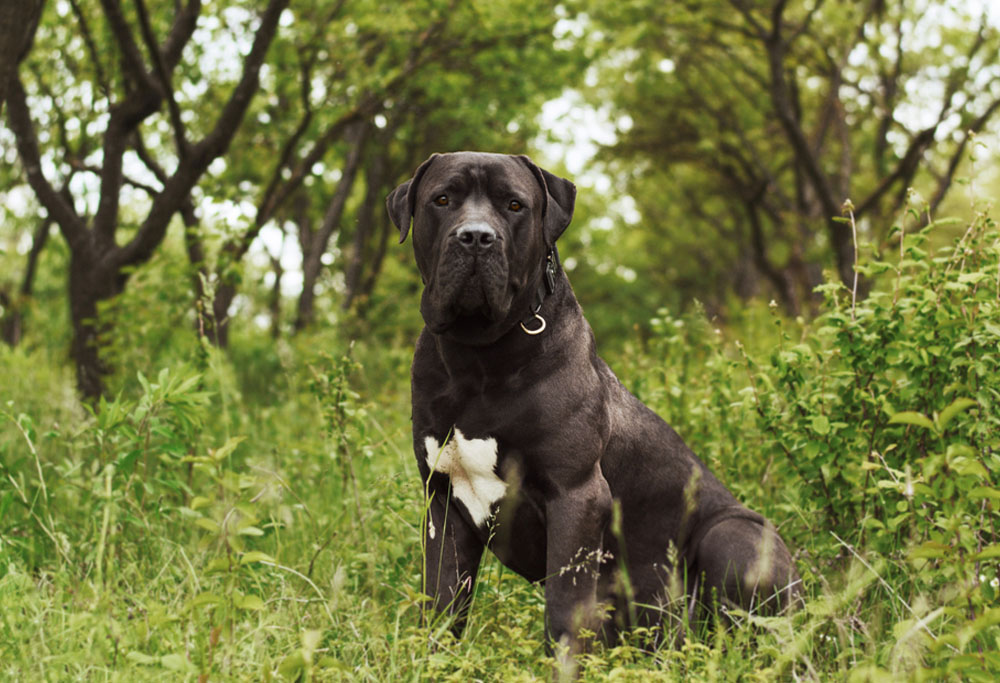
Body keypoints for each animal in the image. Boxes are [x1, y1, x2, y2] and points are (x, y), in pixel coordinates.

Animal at [386, 152, 800, 660]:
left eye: (514, 204)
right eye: (442, 199)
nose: (476, 236)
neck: (477, 356)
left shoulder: (576, 494)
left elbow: (564, 609)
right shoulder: (443, 502)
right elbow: (442, 602)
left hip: (735, 535)